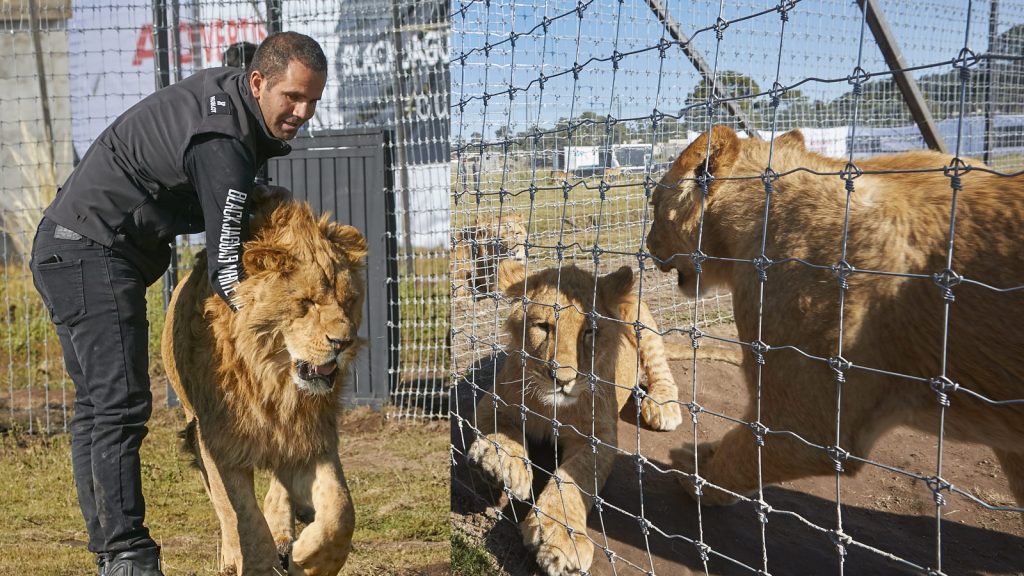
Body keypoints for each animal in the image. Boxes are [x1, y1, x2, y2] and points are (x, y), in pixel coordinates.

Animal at [161, 194, 366, 569]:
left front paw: (306, 560)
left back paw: (286, 537)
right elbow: (240, 517)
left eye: (348, 301)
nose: (343, 343)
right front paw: (254, 559)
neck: (273, 383)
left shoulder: (311, 437)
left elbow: (340, 512)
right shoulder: (217, 441)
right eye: (306, 302)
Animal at [468, 261, 679, 573]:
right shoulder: (493, 401)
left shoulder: (598, 436)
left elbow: (574, 477)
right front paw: (502, 465)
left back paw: (663, 405)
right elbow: (503, 432)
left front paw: (560, 538)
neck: (551, 407)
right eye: (543, 327)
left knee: (660, 367)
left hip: (644, 323)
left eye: (589, 332)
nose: (563, 379)